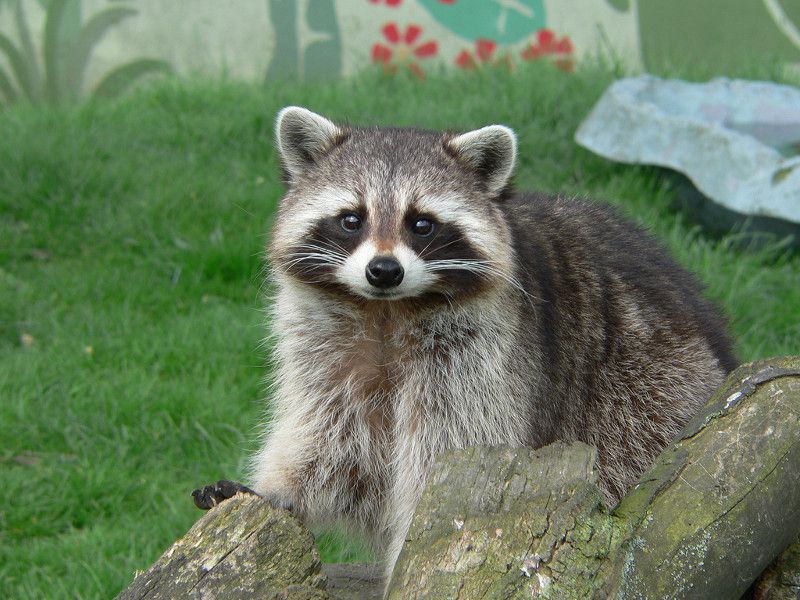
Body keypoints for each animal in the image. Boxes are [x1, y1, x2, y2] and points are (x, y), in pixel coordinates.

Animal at [191, 106, 736, 576]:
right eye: (351, 219)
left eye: (421, 223)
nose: (383, 271)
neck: (386, 311)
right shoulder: (326, 350)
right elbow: (334, 441)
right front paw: (279, 490)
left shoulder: (481, 359)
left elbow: (449, 454)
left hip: (647, 389)